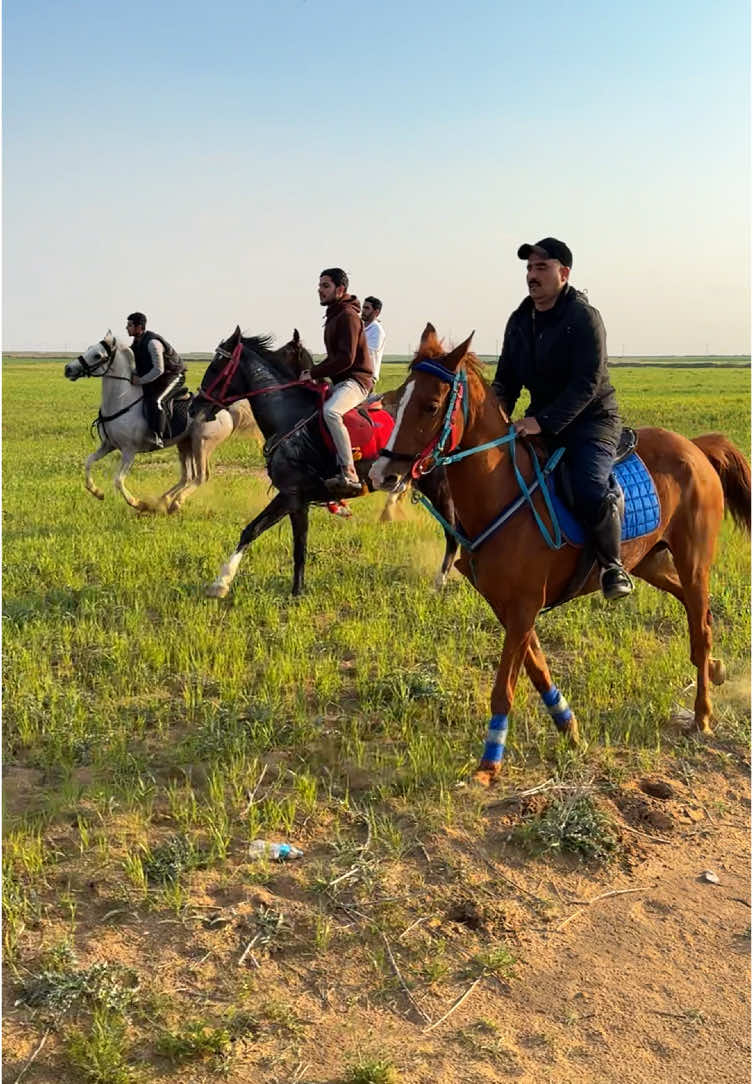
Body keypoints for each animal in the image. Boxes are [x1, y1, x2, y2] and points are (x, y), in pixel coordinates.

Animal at [64, 329, 258, 511]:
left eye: (97, 355)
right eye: (88, 349)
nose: (68, 369)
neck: (121, 400)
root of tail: (226, 410)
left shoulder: (129, 451)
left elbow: (118, 480)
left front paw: (137, 503)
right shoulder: (108, 445)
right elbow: (88, 462)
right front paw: (97, 492)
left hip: (202, 444)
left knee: (201, 476)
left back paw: (175, 503)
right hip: (185, 444)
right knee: (187, 476)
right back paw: (163, 500)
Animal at [370, 325, 749, 784]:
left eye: (430, 405)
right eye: (397, 398)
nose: (382, 474)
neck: (502, 493)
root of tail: (694, 448)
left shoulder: (524, 605)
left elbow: (504, 687)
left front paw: (489, 763)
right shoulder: (508, 606)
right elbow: (536, 669)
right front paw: (570, 729)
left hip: (694, 562)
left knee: (701, 626)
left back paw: (703, 715)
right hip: (651, 562)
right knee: (701, 614)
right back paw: (713, 669)